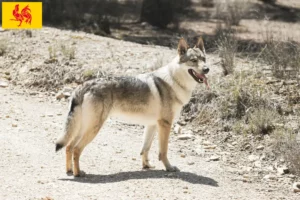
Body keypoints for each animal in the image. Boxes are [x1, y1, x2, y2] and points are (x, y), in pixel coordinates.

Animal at [56, 37, 210, 177]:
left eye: (204, 59)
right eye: (194, 60)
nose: (207, 69)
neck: (175, 81)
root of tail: (84, 85)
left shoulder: (152, 125)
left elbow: (145, 149)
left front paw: (146, 166)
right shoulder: (165, 124)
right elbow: (163, 151)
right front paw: (169, 167)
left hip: (83, 128)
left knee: (69, 146)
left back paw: (69, 171)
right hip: (93, 128)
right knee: (76, 148)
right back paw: (78, 173)